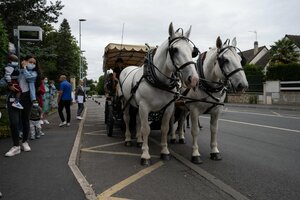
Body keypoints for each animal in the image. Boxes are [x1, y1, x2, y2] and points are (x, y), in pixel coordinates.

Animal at [119, 22, 199, 166]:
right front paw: (145, 155)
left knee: (138, 120)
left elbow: (164, 128)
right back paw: (128, 139)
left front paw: (165, 152)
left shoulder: (168, 107)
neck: (158, 81)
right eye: (175, 50)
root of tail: (127, 68)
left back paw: (139, 141)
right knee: (127, 118)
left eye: (192, 52)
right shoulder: (144, 106)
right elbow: (146, 129)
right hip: (125, 101)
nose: (194, 79)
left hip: (137, 105)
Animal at [171, 36, 248, 164]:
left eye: (240, 59)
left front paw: (215, 152)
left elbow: (214, 130)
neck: (207, 84)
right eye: (225, 60)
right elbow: (195, 131)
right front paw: (195, 154)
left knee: (181, 120)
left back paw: (181, 137)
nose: (243, 85)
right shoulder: (194, 110)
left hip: (184, 107)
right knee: (172, 121)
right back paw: (172, 136)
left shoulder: (216, 111)